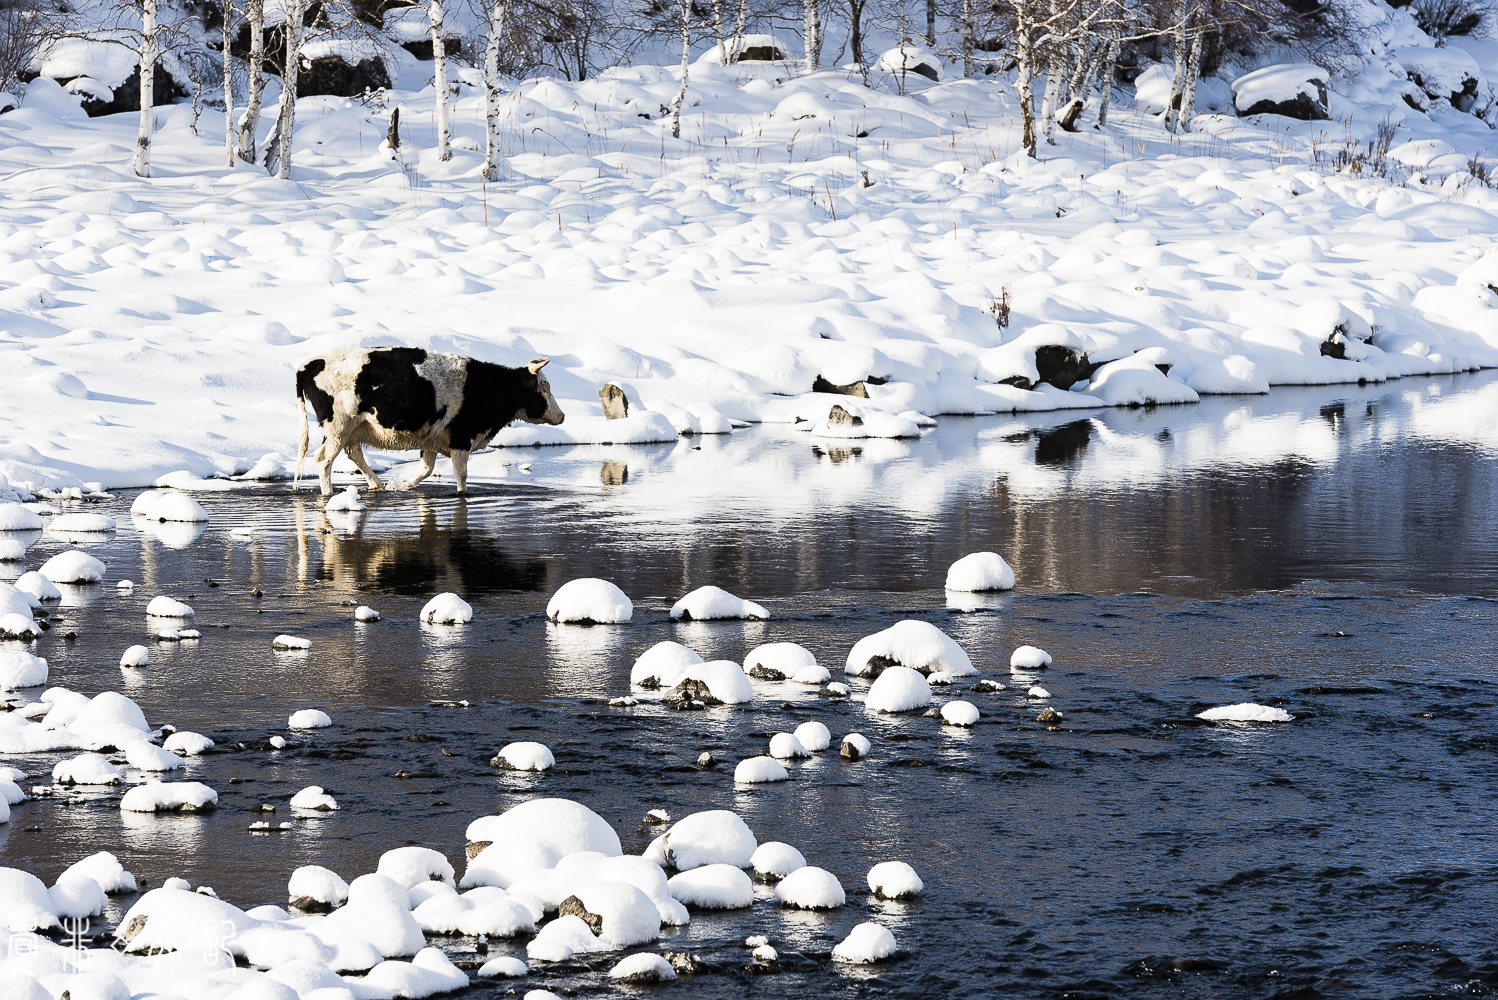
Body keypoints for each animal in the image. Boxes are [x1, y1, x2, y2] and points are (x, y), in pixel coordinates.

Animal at [295, 347, 563, 497]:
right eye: (544, 388)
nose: (561, 416)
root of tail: (312, 363)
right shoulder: (461, 438)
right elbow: (461, 475)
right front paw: (461, 494)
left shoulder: (432, 439)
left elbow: (426, 469)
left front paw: (404, 487)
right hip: (338, 426)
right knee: (323, 460)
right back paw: (329, 493)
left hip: (352, 429)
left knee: (354, 455)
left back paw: (378, 486)